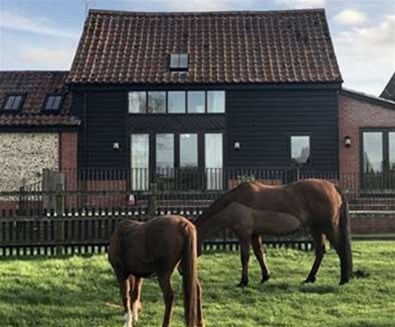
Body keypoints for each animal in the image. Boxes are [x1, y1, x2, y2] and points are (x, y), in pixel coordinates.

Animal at [196, 178, 354, 288]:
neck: (234, 202)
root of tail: (333, 186)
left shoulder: (244, 233)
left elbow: (245, 257)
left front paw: (243, 281)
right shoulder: (255, 234)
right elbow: (259, 253)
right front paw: (265, 276)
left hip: (328, 227)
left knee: (340, 249)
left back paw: (343, 279)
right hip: (316, 228)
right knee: (320, 251)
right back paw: (310, 278)